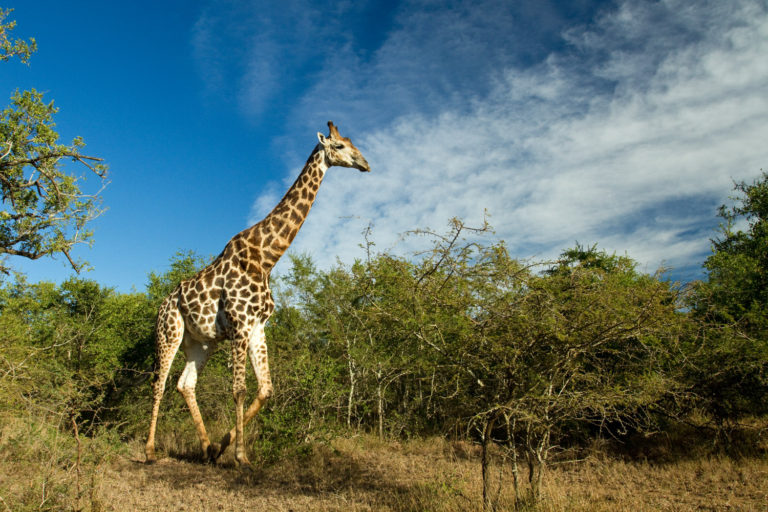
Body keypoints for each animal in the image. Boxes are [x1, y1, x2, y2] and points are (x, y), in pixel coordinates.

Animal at [145, 122, 372, 466]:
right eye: (340, 146)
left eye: (350, 142)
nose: (365, 164)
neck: (266, 259)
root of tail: (163, 303)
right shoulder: (240, 325)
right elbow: (239, 389)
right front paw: (241, 456)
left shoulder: (257, 327)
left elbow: (266, 389)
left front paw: (223, 447)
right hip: (169, 332)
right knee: (159, 384)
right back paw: (149, 451)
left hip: (201, 343)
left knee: (185, 384)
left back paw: (207, 448)